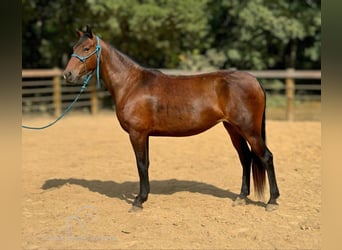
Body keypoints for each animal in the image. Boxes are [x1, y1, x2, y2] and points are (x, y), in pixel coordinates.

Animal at [62, 26, 280, 212]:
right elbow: (146, 164)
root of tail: (255, 80)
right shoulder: (145, 135)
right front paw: (144, 197)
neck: (131, 84)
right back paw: (241, 197)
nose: (67, 75)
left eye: (87, 48)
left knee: (266, 157)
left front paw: (138, 201)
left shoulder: (137, 134)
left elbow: (141, 164)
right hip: (233, 128)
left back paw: (272, 201)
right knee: (246, 158)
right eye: (73, 48)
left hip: (249, 129)